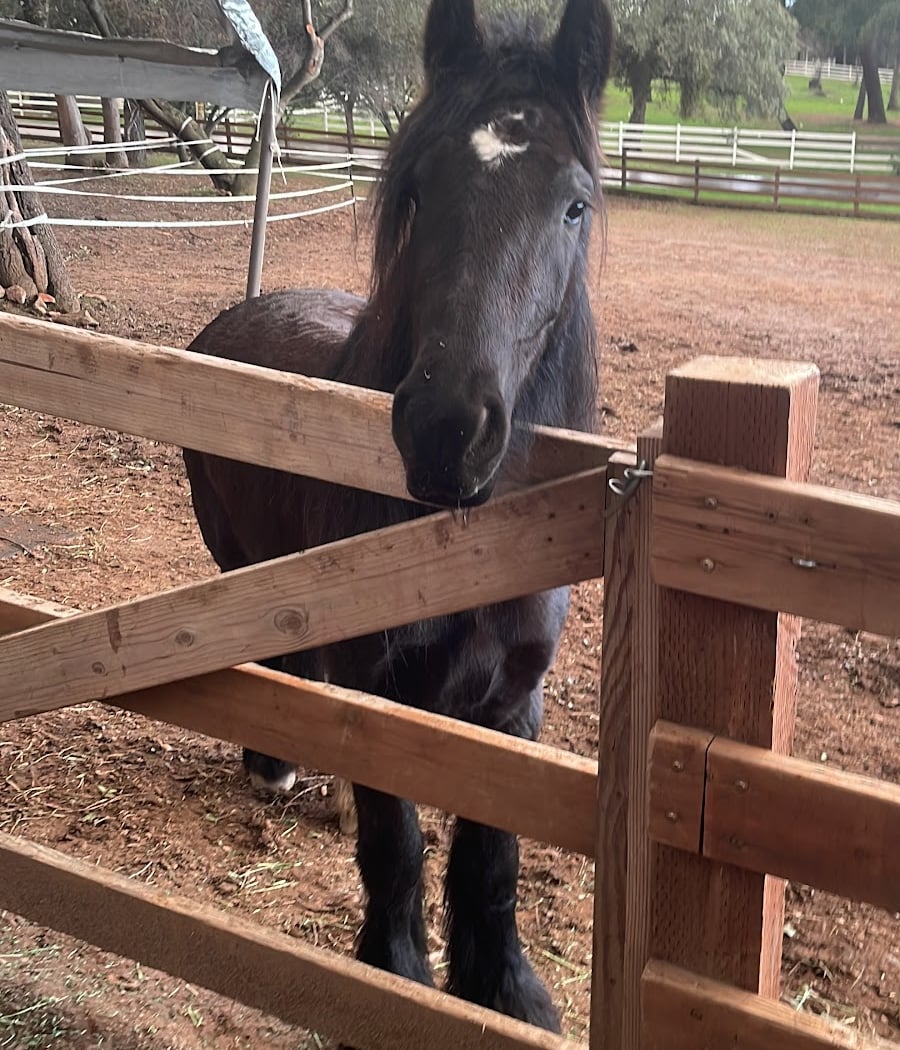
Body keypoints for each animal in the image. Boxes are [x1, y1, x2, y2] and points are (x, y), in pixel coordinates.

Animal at [182, 0, 612, 1029]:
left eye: (574, 205)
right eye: (417, 187)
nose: (449, 428)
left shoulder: (512, 702)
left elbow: (491, 858)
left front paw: (505, 990)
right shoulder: (379, 695)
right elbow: (398, 847)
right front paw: (397, 974)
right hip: (238, 568)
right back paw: (274, 762)